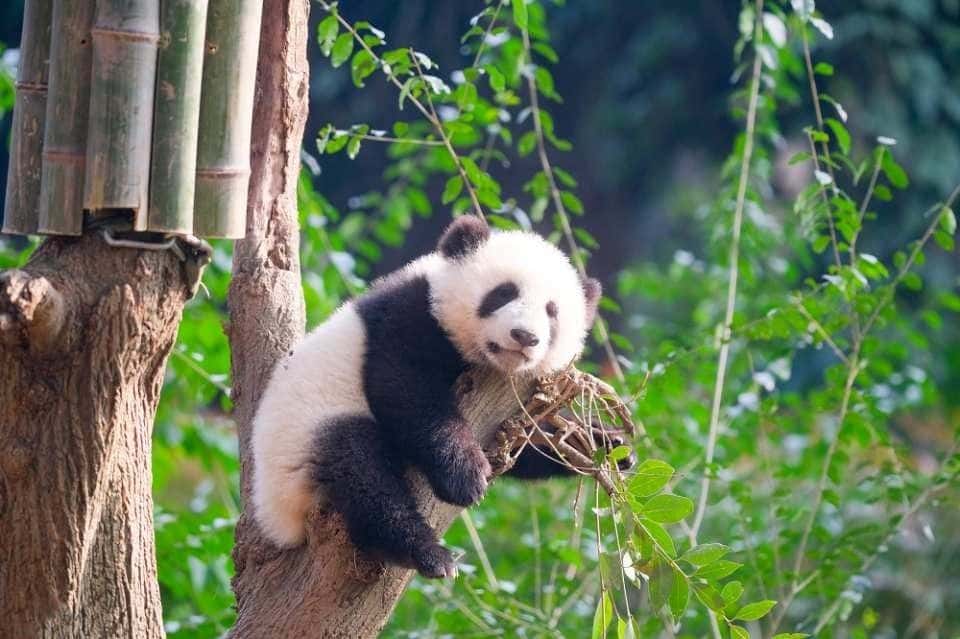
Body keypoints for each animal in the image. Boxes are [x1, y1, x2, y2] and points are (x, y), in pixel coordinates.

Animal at [251, 216, 602, 579]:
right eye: (503, 293)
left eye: (552, 311)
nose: (524, 336)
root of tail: (277, 523)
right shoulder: (409, 316)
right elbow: (406, 388)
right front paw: (465, 476)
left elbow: (529, 447)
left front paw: (601, 443)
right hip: (302, 445)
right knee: (361, 471)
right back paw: (426, 553)